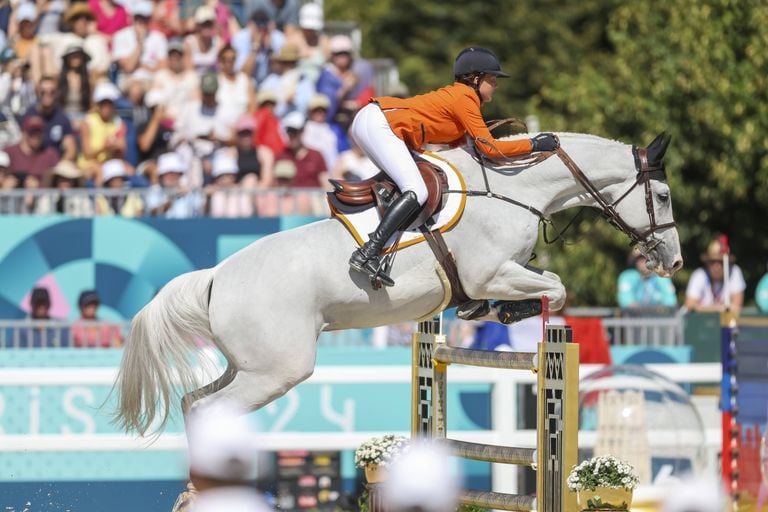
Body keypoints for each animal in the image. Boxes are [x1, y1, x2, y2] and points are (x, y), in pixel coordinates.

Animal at [115, 133, 684, 436]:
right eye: (661, 195)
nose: (674, 261)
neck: (516, 189)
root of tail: (215, 277)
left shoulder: (505, 271)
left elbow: (548, 283)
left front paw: (489, 312)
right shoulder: (491, 271)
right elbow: (558, 288)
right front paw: (509, 313)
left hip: (246, 365)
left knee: (195, 404)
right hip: (278, 369)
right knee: (209, 408)